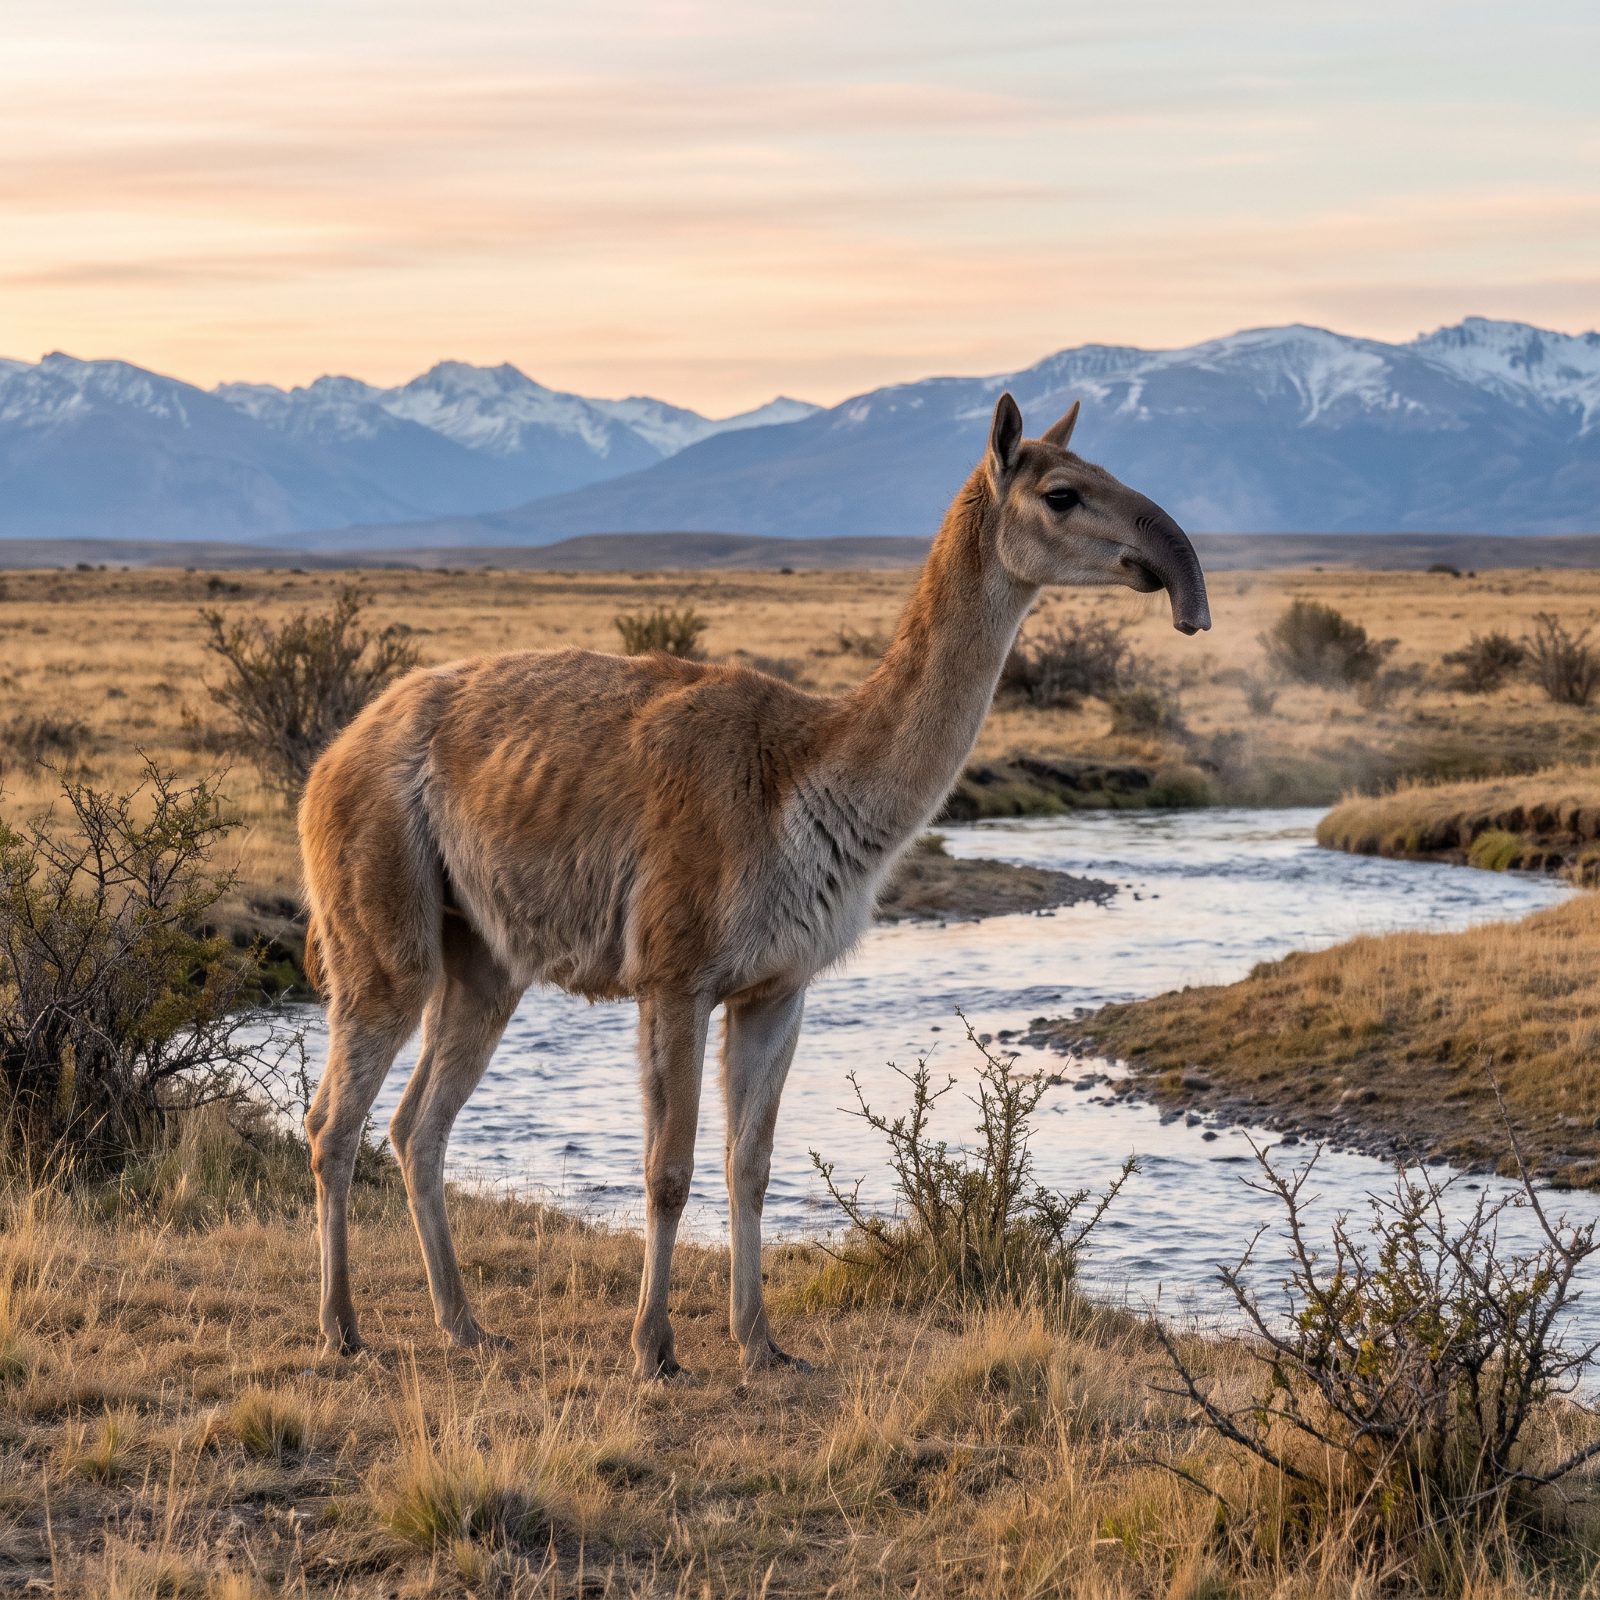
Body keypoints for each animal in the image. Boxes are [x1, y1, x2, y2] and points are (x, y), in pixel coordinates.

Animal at [298, 393, 1211, 1377]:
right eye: (1063, 493)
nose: (1172, 576)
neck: (799, 778)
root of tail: (336, 750)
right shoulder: (674, 972)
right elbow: (668, 1170)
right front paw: (654, 1349)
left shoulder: (776, 987)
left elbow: (751, 1165)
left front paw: (762, 1343)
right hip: (382, 928)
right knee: (333, 1124)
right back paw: (341, 1327)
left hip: (485, 961)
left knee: (416, 1129)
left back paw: (464, 1323)